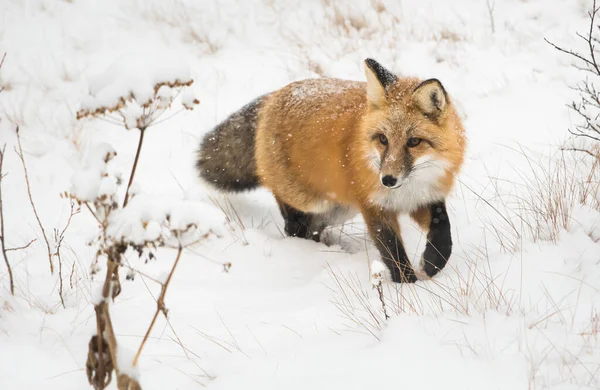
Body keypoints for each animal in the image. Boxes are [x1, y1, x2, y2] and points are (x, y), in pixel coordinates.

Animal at [198, 58, 468, 284]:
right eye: (383, 139)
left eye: (414, 142)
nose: (388, 180)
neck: (409, 187)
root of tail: (274, 96)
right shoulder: (374, 207)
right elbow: (393, 253)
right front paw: (408, 287)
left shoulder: (425, 197)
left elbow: (444, 233)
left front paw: (432, 264)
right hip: (309, 202)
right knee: (294, 224)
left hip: (338, 211)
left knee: (314, 230)